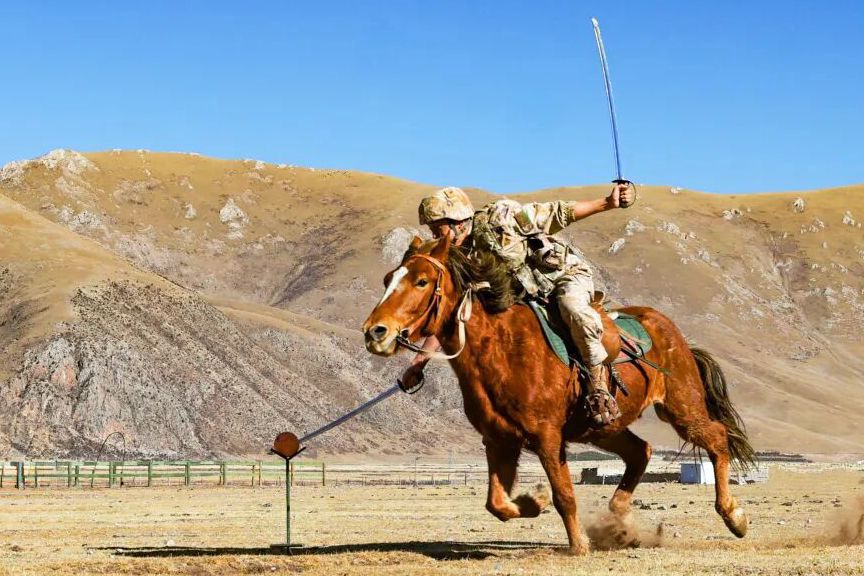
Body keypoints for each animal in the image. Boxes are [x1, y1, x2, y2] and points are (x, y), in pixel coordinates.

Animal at [362, 235, 755, 555]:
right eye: (387, 279)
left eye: (421, 281)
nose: (375, 332)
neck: (501, 347)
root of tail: (672, 333)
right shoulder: (499, 440)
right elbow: (496, 503)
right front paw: (533, 501)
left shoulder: (547, 437)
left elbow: (564, 494)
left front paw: (577, 544)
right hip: (601, 427)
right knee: (640, 451)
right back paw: (619, 520)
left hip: (681, 408)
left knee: (716, 438)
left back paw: (734, 516)